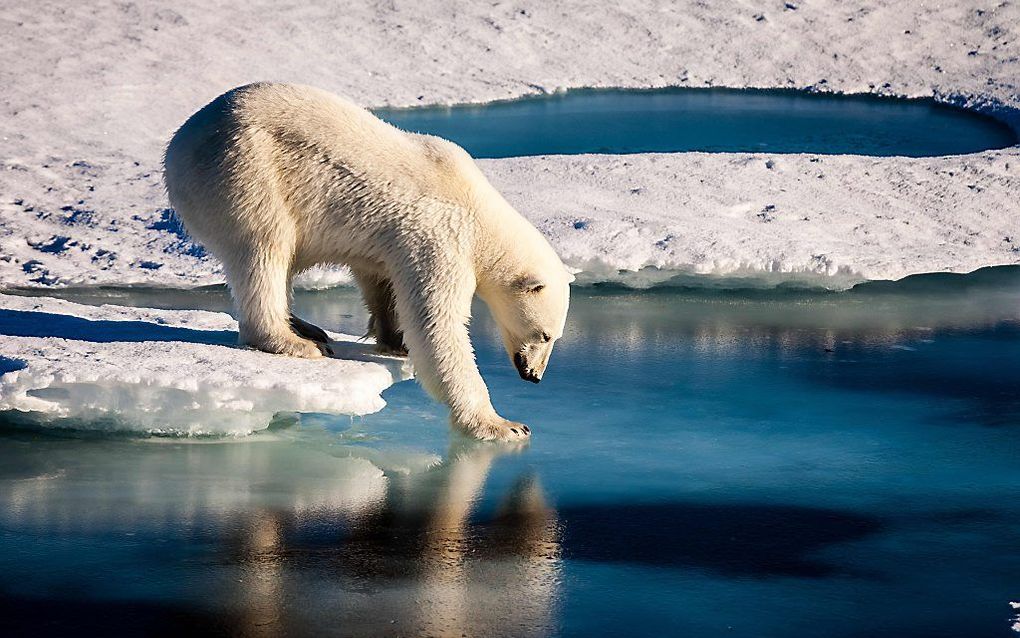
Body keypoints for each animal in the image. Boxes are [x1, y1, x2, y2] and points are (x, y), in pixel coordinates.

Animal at [163, 82, 571, 440]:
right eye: (545, 335)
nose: (534, 375)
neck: (478, 210)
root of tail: (178, 144)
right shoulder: (441, 238)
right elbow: (438, 326)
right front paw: (504, 425)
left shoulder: (393, 240)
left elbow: (381, 279)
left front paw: (394, 340)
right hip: (245, 170)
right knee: (264, 248)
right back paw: (295, 341)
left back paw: (306, 327)